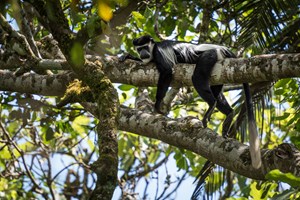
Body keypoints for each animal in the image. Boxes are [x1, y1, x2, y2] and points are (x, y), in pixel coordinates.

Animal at [120, 35, 262, 169]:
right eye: (139, 49)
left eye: (145, 47)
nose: (143, 53)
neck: (153, 48)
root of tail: (222, 49)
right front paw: (128, 56)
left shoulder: (158, 53)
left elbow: (167, 71)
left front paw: (157, 103)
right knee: (217, 93)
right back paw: (229, 114)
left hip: (209, 56)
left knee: (197, 77)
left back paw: (212, 106)